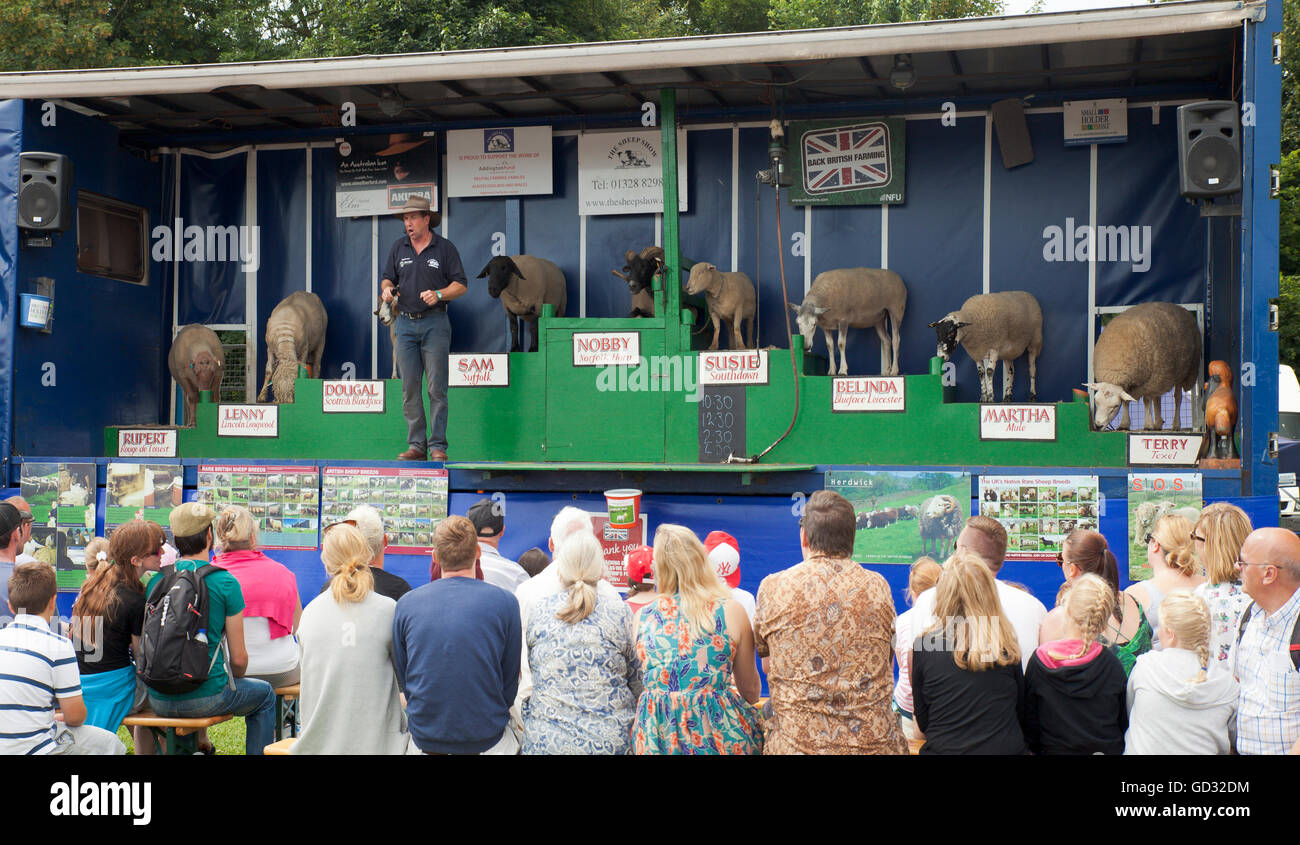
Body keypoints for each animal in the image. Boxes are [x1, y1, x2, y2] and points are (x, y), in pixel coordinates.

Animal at [1086, 302, 1201, 431]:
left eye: (1115, 406)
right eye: (1095, 401)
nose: (1098, 425)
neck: (1114, 374)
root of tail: (1179, 307)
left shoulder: (1148, 382)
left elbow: (1146, 400)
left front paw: (1147, 425)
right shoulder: (1132, 385)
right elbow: (1126, 402)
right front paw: (1124, 424)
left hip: (1183, 372)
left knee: (1177, 397)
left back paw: (1175, 424)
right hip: (1161, 374)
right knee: (1157, 398)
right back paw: (1158, 424)